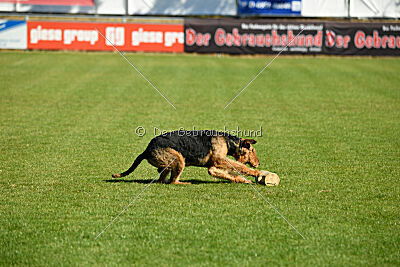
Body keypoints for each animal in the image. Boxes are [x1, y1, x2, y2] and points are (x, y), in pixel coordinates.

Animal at [112, 131, 262, 185]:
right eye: (252, 150)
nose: (258, 164)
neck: (228, 142)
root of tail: (146, 150)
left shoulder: (213, 165)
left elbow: (221, 172)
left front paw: (242, 180)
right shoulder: (219, 159)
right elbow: (239, 167)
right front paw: (256, 173)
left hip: (170, 163)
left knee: (162, 178)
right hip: (179, 159)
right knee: (173, 181)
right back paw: (184, 183)